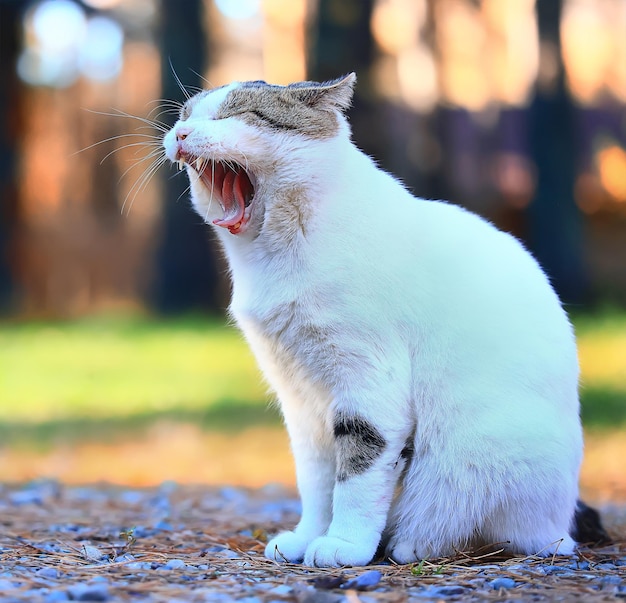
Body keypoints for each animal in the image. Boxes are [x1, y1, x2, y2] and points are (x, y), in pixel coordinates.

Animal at [162, 73, 604, 568]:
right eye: (184, 115)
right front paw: (307, 536)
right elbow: (316, 479)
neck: (277, 253)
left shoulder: (369, 381)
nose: (180, 134)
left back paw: (414, 543)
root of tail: (563, 518)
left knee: (508, 533)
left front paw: (344, 544)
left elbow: (356, 472)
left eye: (239, 114)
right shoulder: (301, 397)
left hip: (482, 456)